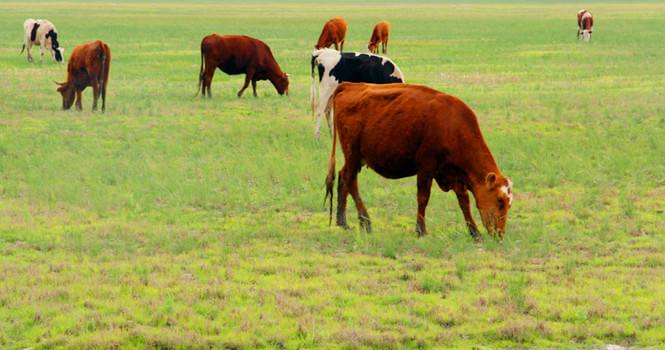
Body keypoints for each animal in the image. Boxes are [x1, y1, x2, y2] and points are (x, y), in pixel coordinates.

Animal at [324, 83, 510, 239]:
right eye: (500, 200)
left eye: (509, 203)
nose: (500, 235)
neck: (452, 123)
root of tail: (349, 85)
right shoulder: (426, 167)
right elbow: (423, 197)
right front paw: (421, 230)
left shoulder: (455, 173)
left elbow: (464, 201)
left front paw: (474, 232)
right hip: (353, 154)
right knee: (349, 180)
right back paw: (365, 222)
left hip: (357, 159)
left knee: (344, 178)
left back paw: (342, 222)